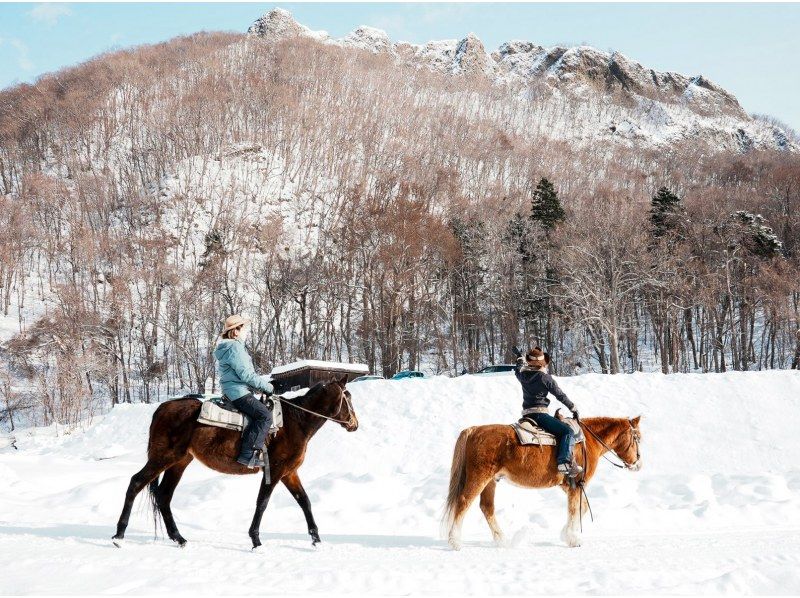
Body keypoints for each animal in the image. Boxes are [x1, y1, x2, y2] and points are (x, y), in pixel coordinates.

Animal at [111, 380, 356, 552]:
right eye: (348, 398)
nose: (354, 424)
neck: (294, 422)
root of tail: (163, 408)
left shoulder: (289, 473)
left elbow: (304, 501)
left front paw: (317, 539)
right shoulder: (275, 471)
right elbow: (262, 503)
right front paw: (256, 540)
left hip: (179, 462)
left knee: (164, 496)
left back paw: (179, 538)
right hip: (163, 458)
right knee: (136, 483)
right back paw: (119, 536)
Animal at [444, 414, 644, 552]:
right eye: (637, 438)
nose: (638, 464)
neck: (587, 440)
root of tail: (474, 430)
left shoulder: (570, 486)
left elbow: (582, 507)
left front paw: (565, 534)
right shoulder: (577, 485)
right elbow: (574, 509)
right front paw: (573, 539)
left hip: (490, 482)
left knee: (487, 507)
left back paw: (502, 541)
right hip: (479, 478)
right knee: (463, 502)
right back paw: (455, 541)